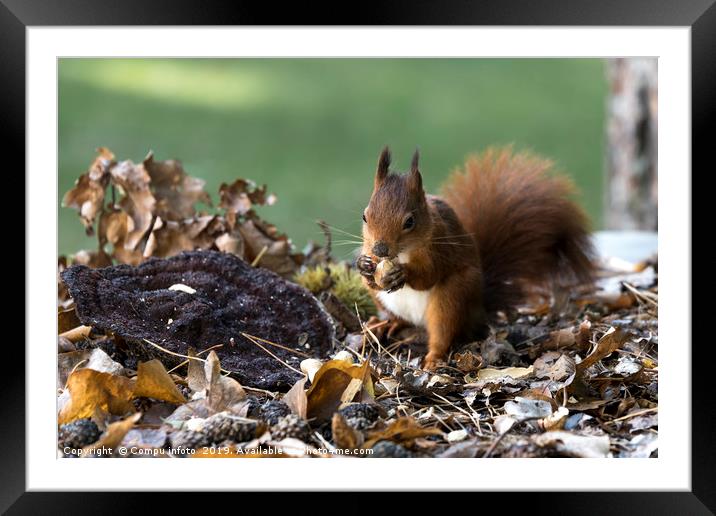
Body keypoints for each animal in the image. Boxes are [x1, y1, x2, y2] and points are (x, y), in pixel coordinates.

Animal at [356, 146, 592, 370]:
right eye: (365, 216)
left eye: (409, 222)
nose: (380, 249)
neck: (402, 254)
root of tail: (479, 310)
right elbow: (371, 277)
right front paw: (364, 266)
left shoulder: (442, 248)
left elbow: (429, 276)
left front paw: (403, 273)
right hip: (384, 301)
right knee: (399, 318)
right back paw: (388, 324)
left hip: (452, 296)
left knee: (443, 333)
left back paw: (433, 358)